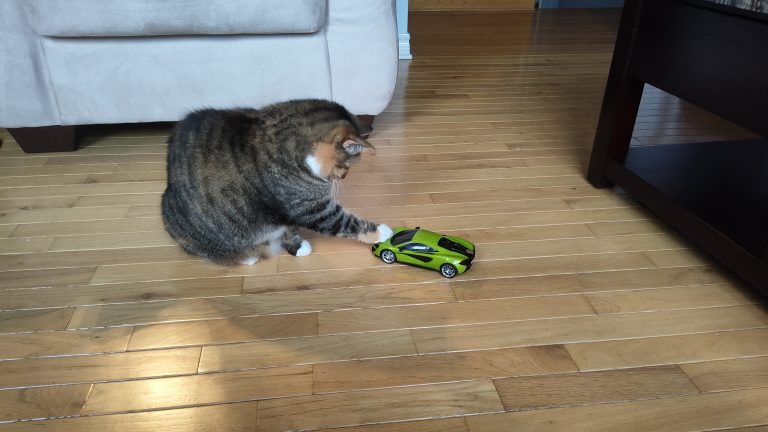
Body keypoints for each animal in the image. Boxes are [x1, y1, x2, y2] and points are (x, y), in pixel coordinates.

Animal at [160, 99, 390, 264]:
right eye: (346, 166)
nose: (343, 177)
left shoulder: (290, 212)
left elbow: (289, 227)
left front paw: (296, 246)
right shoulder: (308, 206)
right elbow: (343, 221)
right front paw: (383, 232)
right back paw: (248, 257)